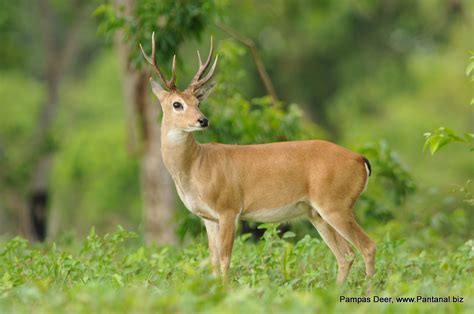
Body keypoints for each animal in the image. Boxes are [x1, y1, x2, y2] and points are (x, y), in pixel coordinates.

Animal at [139, 32, 376, 284]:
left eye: (198, 102)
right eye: (177, 104)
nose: (203, 120)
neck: (195, 166)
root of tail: (361, 159)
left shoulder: (229, 208)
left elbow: (225, 260)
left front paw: (227, 290)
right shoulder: (208, 218)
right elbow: (213, 261)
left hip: (335, 203)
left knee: (367, 246)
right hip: (317, 213)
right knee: (345, 255)